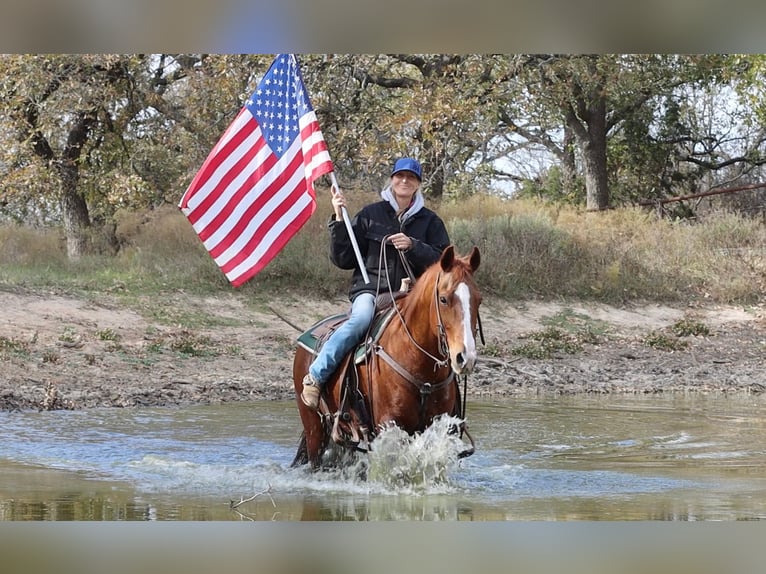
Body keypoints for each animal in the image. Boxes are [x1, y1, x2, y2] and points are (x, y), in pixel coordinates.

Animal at [292, 245, 484, 470]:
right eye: (443, 299)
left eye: (478, 299)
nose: (465, 357)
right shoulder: (389, 424)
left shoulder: (437, 426)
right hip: (314, 426)